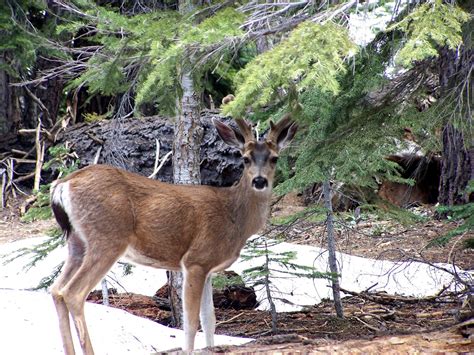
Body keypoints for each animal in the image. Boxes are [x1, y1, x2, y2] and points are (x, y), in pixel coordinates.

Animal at [50, 116, 298, 354]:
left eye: (274, 158)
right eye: (245, 158)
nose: (259, 181)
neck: (235, 217)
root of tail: (62, 185)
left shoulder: (209, 268)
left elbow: (209, 319)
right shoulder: (195, 260)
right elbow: (190, 322)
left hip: (77, 242)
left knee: (55, 289)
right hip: (107, 238)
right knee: (73, 293)